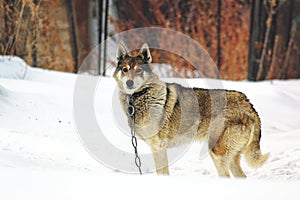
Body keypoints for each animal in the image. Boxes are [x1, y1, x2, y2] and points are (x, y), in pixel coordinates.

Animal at [113, 43, 270, 177]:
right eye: (125, 70)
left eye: (138, 70)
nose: (129, 83)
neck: (140, 98)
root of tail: (248, 103)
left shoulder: (159, 147)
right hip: (228, 158)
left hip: (216, 153)